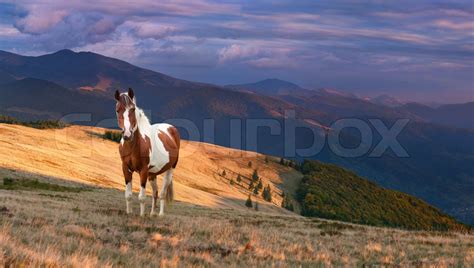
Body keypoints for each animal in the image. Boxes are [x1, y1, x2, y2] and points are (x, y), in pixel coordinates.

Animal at [114, 89, 181, 217]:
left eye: (132, 109)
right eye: (118, 110)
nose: (127, 135)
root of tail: (171, 128)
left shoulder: (143, 171)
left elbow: (142, 197)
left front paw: (141, 216)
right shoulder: (125, 168)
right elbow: (128, 195)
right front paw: (129, 213)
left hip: (169, 170)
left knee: (162, 193)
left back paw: (160, 215)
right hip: (152, 174)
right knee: (155, 192)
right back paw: (152, 213)